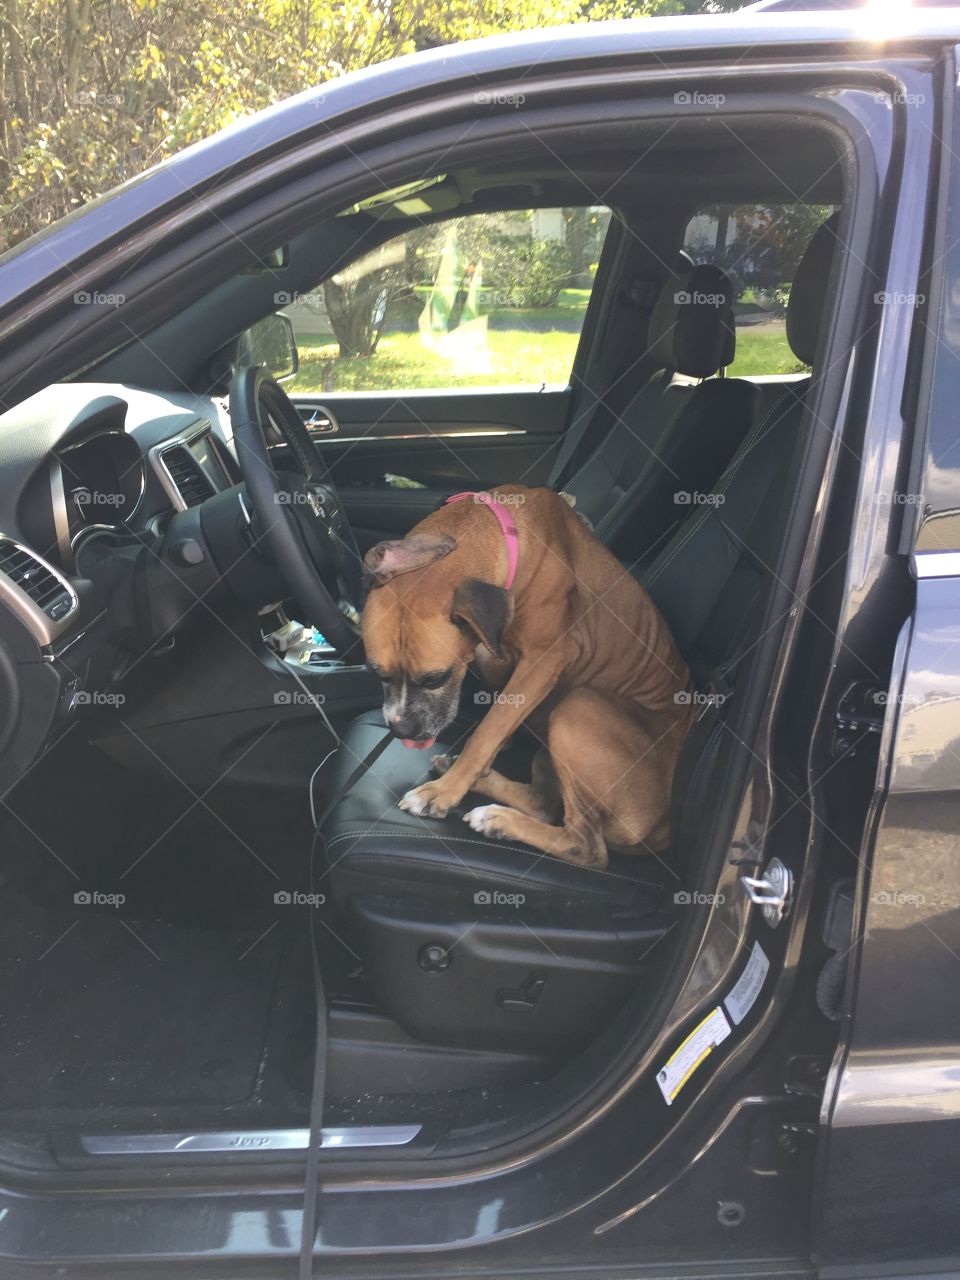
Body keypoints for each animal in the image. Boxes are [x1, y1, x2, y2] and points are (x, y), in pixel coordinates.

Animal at [360, 481, 691, 870]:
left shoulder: (543, 661)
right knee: (545, 803)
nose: (400, 730)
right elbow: (498, 722)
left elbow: (487, 731)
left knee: (587, 845)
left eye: (435, 678)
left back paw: (497, 818)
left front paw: (445, 792)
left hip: (579, 705)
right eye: (379, 674)